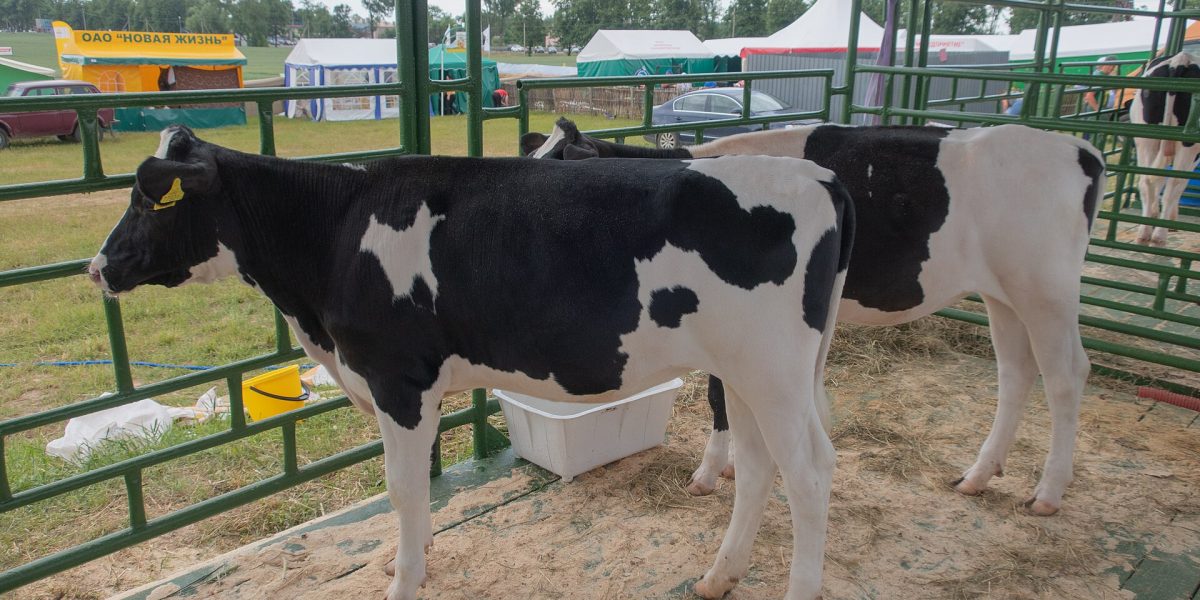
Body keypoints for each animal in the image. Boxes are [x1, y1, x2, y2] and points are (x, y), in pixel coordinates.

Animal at [89, 126, 854, 600]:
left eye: (149, 199)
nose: (98, 267)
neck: (336, 231)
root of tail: (818, 175)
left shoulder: (398, 379)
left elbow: (403, 490)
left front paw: (402, 580)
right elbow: (414, 497)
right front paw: (413, 563)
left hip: (774, 373)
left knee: (812, 472)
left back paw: (796, 585)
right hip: (748, 373)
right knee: (756, 465)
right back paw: (718, 576)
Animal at [523, 118, 1106, 516]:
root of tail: (1079, 148)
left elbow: (718, 396)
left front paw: (711, 471)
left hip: (1046, 292)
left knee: (1065, 376)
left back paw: (1048, 492)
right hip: (1003, 294)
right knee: (1016, 373)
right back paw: (979, 475)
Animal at [1129, 51, 1200, 246]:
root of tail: (1181, 60)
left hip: (1145, 137)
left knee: (1147, 180)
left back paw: (1144, 231)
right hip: (1189, 144)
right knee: (1174, 184)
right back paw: (1159, 235)